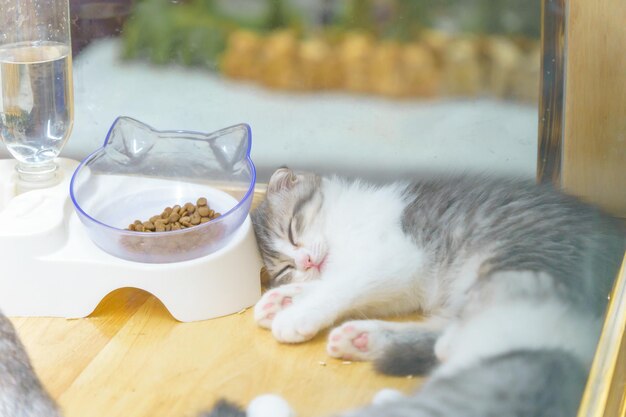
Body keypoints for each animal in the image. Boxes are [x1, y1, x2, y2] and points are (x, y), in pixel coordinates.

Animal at [208, 168, 620, 416]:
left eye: (293, 229)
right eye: (283, 268)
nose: (307, 261)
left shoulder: (399, 258)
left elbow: (343, 285)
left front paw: (295, 314)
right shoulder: (402, 283)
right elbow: (336, 284)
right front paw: (283, 299)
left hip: (513, 273)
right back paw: (363, 339)